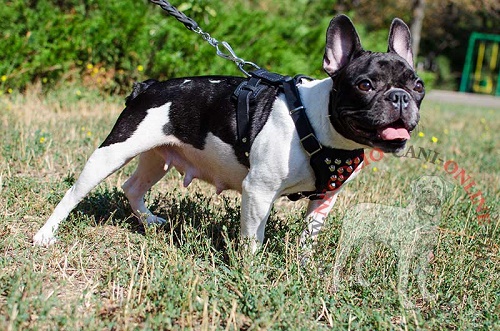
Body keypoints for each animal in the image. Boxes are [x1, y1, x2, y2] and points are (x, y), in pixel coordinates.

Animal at [33, 14, 424, 250]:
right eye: (365, 84)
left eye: (418, 85)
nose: (400, 97)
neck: (318, 123)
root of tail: (149, 87)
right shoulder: (259, 192)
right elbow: (253, 239)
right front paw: (251, 273)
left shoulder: (324, 198)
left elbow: (309, 236)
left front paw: (304, 265)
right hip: (113, 151)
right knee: (75, 194)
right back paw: (45, 234)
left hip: (157, 157)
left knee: (133, 186)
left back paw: (150, 221)